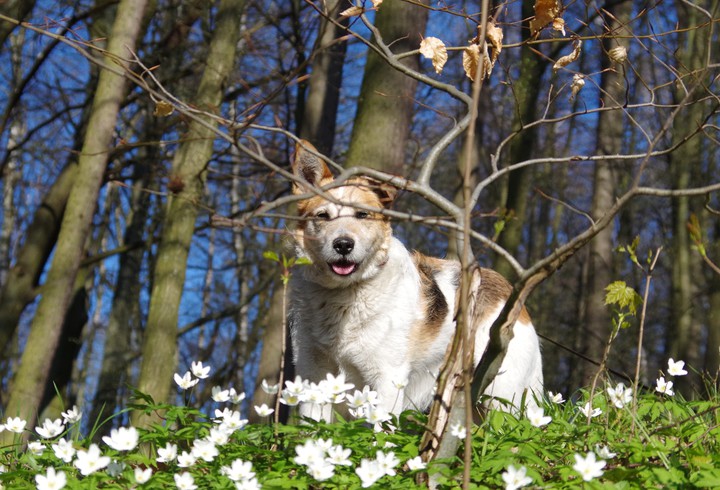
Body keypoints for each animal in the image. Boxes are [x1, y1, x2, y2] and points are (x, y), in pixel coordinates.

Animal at [286, 139, 540, 422]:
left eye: (363, 215)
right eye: (322, 216)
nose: (343, 245)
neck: (342, 296)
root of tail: (509, 290)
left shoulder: (387, 379)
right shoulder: (314, 376)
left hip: (501, 395)